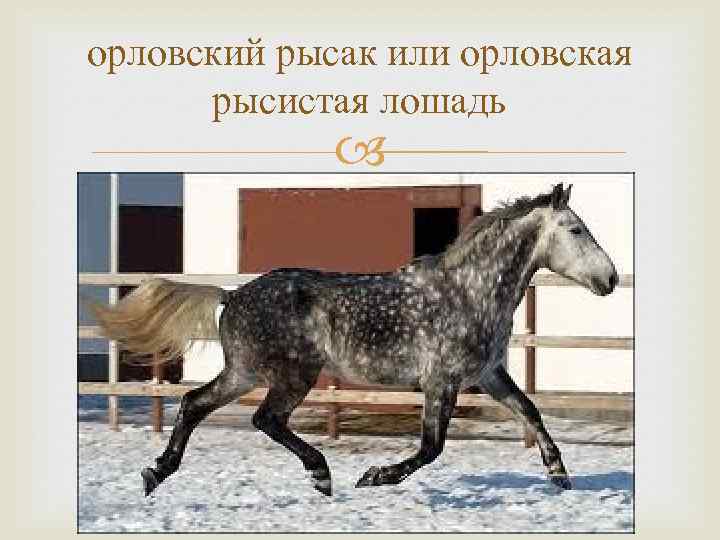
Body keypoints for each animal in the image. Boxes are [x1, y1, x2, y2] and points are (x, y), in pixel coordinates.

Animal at [93, 183, 618, 498]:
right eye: (576, 229)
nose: (611, 279)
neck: (470, 291)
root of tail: (233, 295)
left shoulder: (487, 374)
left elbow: (530, 410)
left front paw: (559, 474)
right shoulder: (441, 380)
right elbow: (432, 446)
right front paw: (375, 477)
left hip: (243, 372)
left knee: (194, 404)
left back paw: (156, 473)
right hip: (290, 375)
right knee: (265, 419)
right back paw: (321, 473)